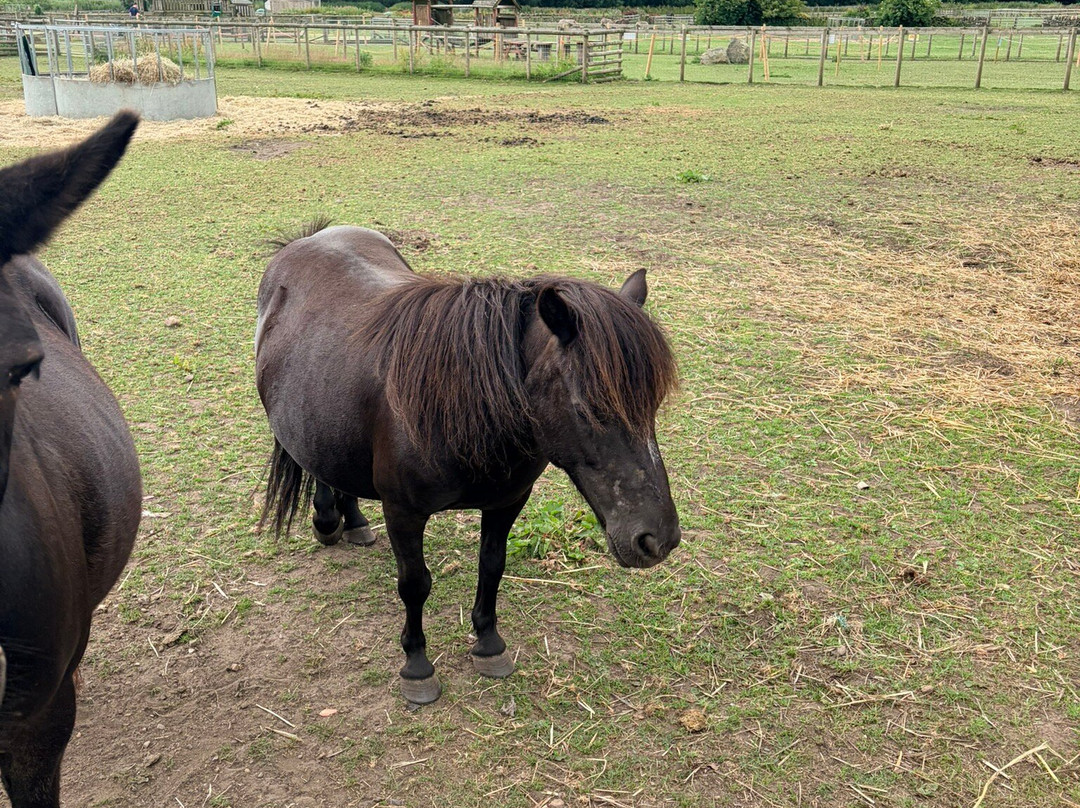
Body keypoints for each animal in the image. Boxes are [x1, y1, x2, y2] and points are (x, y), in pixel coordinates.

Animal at [256, 222, 681, 705]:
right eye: (587, 408)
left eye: (653, 405)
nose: (659, 539)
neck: (457, 404)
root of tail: (309, 238)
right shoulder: (403, 512)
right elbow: (414, 584)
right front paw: (417, 665)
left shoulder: (508, 501)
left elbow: (491, 566)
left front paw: (489, 643)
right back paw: (328, 520)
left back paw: (354, 520)